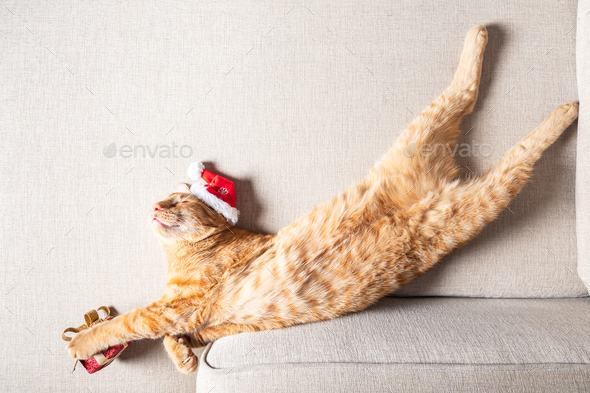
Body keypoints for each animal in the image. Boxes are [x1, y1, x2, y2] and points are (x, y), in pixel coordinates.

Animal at [67, 26, 580, 372]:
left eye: (178, 201)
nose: (155, 208)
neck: (190, 253)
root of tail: (436, 185)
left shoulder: (171, 308)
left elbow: (124, 323)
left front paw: (83, 342)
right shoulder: (201, 322)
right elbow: (180, 339)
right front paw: (184, 358)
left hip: (479, 198)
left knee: (515, 153)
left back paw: (563, 105)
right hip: (425, 144)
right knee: (463, 96)